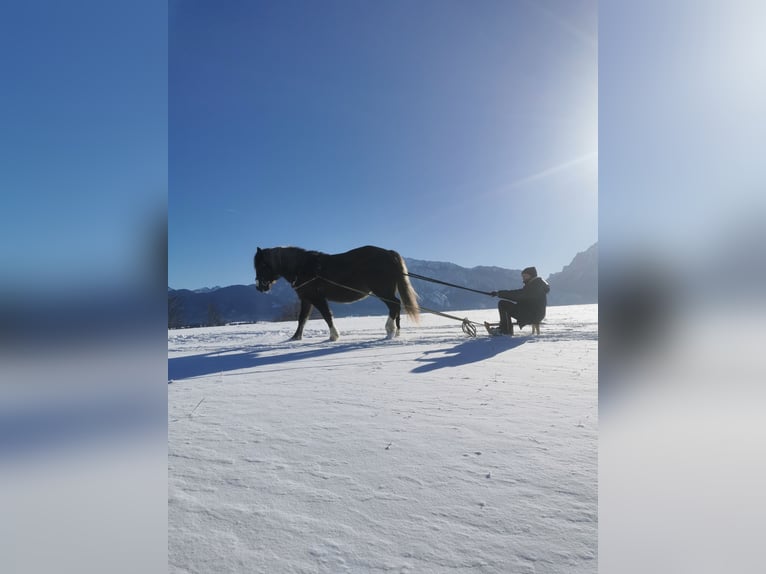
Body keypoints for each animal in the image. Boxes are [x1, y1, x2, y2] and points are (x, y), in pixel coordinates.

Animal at [254, 245, 420, 341]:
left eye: (262, 265)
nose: (259, 287)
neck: (303, 268)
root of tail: (389, 254)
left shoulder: (317, 298)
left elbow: (327, 316)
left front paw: (334, 336)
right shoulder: (307, 299)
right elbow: (302, 319)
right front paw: (295, 337)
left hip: (382, 290)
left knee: (394, 305)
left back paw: (390, 330)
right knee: (396, 305)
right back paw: (396, 332)